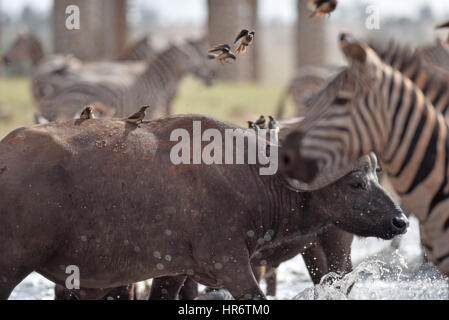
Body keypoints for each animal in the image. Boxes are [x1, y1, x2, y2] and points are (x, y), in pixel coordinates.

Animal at [36, 38, 214, 121]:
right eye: (190, 56)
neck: (155, 79)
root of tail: (62, 90)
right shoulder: (153, 108)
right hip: (69, 110)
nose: (210, 76)